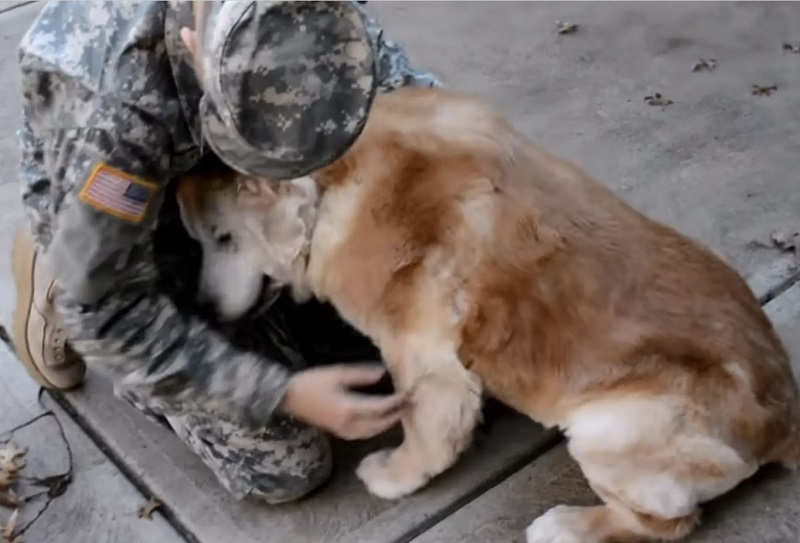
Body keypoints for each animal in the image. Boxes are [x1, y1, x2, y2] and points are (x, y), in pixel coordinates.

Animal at [177, 86, 800, 543]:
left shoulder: (421, 358)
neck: (338, 178)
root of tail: (782, 420)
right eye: (200, 240)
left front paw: (395, 475)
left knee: (666, 523)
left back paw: (567, 526)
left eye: (223, 238)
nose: (202, 310)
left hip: (610, 427)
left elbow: (425, 432)